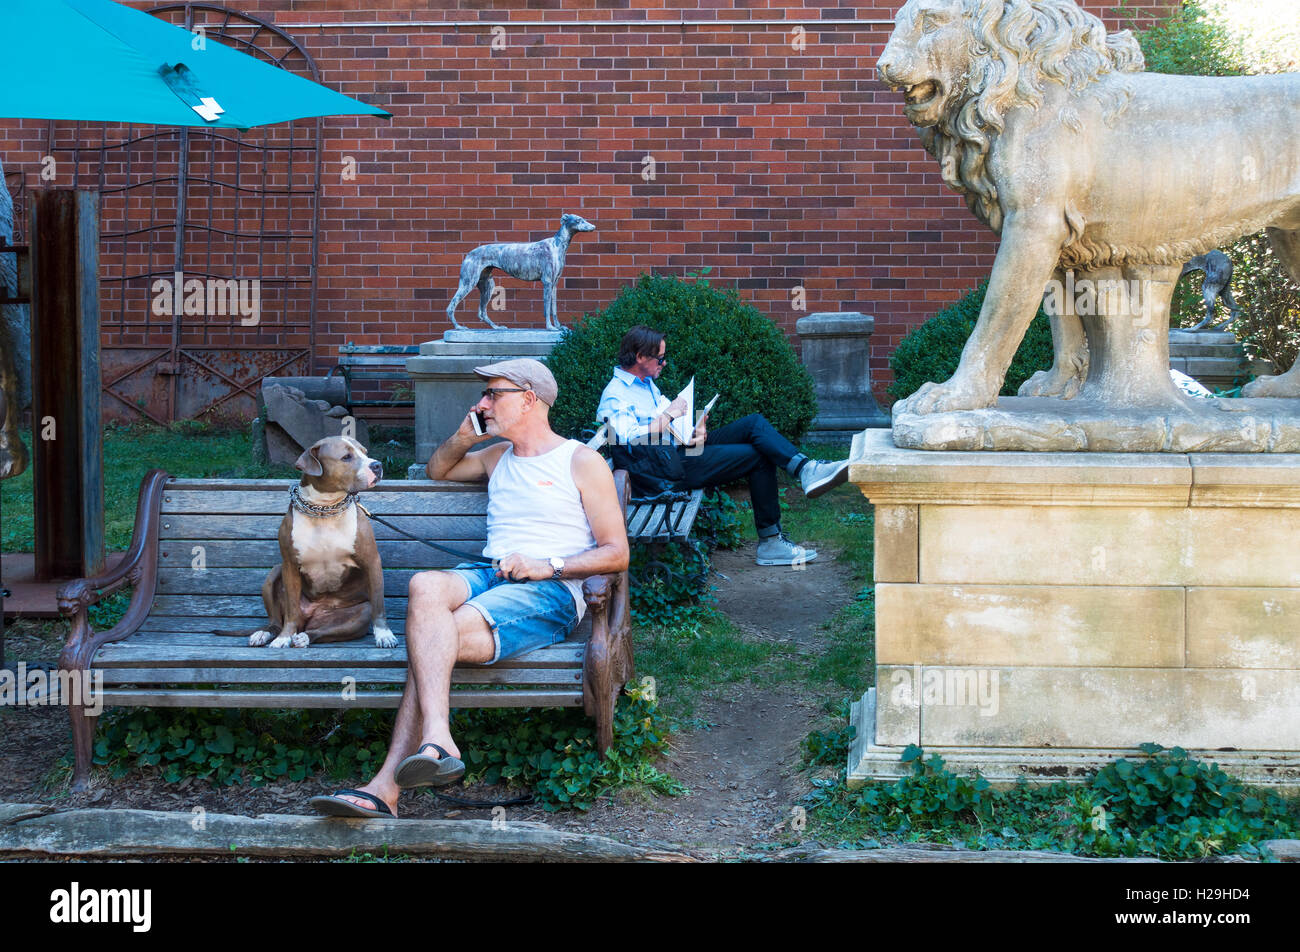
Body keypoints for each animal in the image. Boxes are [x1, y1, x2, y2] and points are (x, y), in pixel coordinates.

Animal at [217, 436, 395, 647]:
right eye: (346, 457)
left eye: (365, 452)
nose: (377, 465)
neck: (324, 509)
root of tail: (310, 619)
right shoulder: (290, 566)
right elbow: (291, 609)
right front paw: (283, 638)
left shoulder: (371, 561)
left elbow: (378, 604)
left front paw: (384, 634)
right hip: (273, 575)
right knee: (277, 621)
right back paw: (265, 634)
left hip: (359, 613)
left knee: (322, 631)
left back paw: (303, 637)